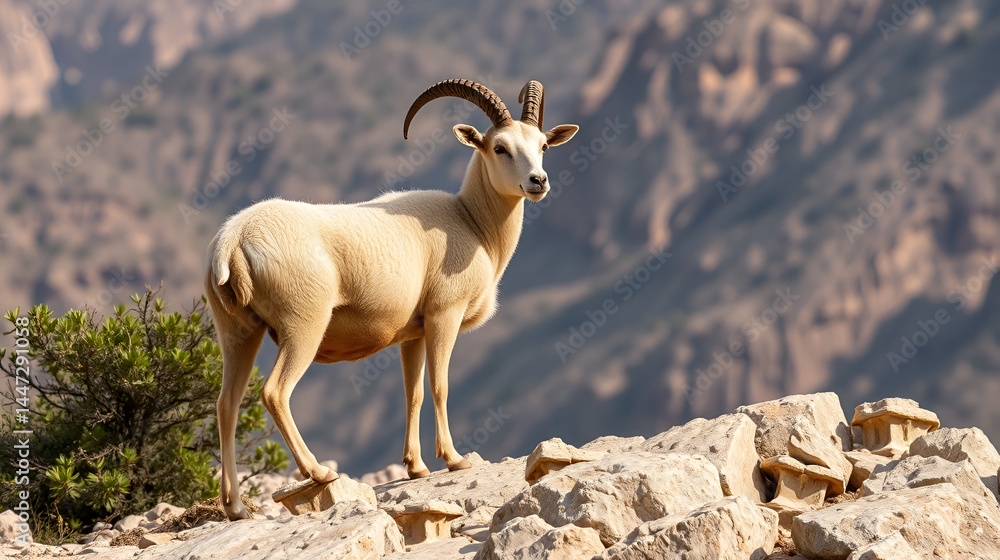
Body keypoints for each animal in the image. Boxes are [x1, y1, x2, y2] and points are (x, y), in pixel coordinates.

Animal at [205, 78, 579, 520]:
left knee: (226, 405)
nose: (538, 181)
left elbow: (412, 392)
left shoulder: (411, 334)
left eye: (543, 144)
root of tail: (233, 239)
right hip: (303, 326)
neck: (470, 221)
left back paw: (236, 508)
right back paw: (320, 473)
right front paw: (454, 459)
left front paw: (416, 467)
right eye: (500, 147)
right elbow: (439, 385)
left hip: (238, 333)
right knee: (274, 392)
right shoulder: (443, 316)